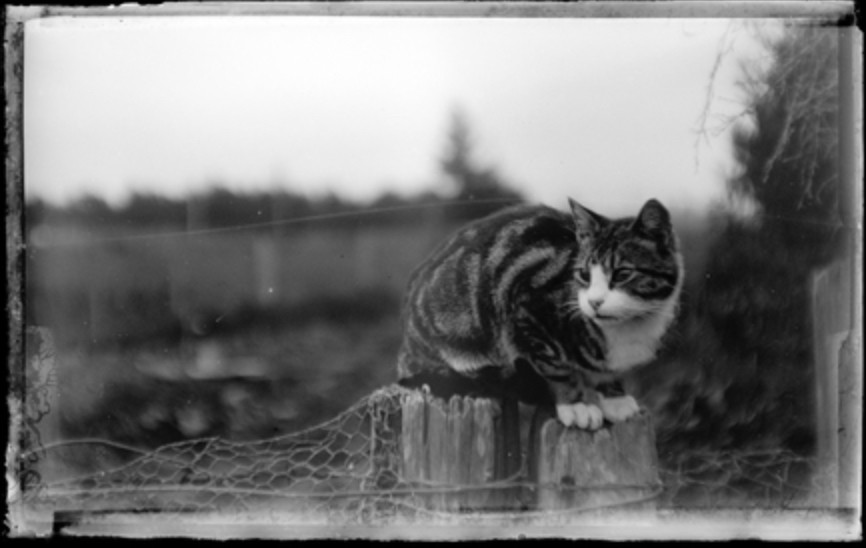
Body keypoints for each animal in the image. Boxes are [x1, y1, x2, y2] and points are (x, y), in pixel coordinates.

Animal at [396, 199, 680, 430]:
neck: (629, 327)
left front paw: (614, 396)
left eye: (622, 274)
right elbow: (555, 366)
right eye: (584, 274)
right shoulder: (525, 308)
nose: (594, 302)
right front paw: (576, 405)